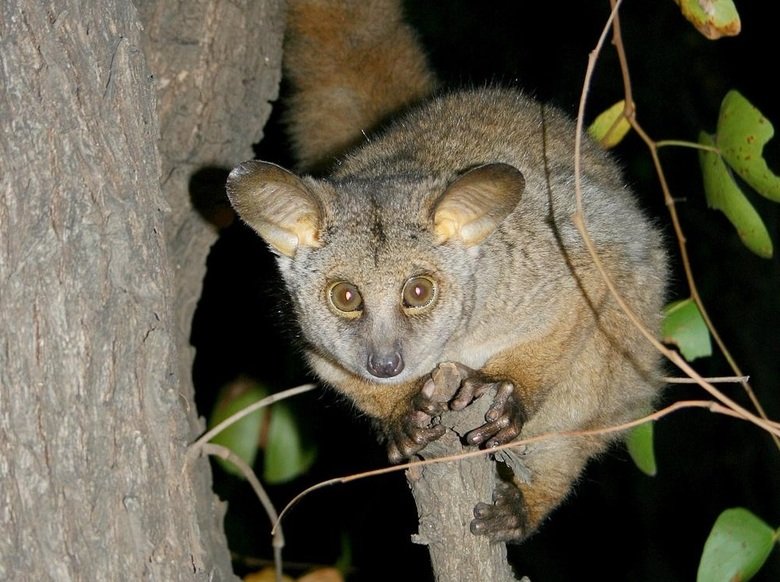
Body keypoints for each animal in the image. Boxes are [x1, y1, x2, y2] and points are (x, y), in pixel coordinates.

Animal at [226, 0, 668, 543]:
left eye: (419, 292)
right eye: (345, 297)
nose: (386, 364)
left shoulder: (548, 255)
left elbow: (595, 276)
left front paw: (505, 386)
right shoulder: (316, 344)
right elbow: (337, 370)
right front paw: (402, 415)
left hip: (623, 377)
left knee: (576, 428)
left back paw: (526, 503)